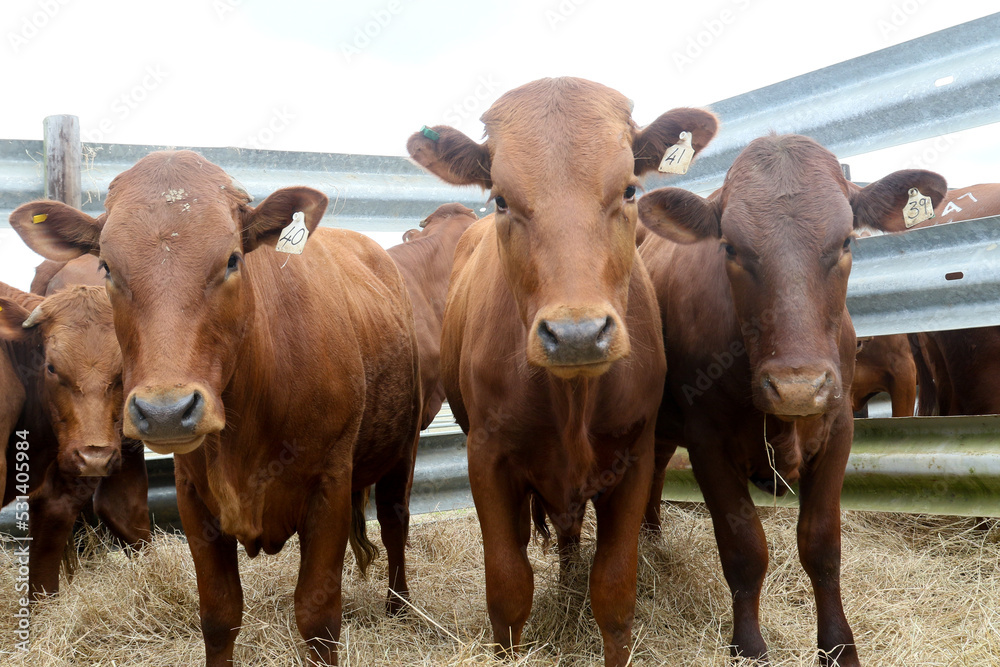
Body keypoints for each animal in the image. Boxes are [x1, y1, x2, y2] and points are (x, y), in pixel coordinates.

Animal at [407, 76, 718, 666]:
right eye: (501, 199)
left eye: (629, 191)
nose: (576, 334)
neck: (573, 399)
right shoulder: (487, 457)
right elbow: (509, 587)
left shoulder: (636, 455)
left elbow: (615, 592)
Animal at [637, 133, 946, 665]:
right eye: (730, 247)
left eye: (846, 242)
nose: (797, 386)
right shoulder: (707, 442)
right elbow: (744, 551)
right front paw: (749, 648)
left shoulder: (839, 427)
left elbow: (821, 546)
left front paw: (839, 646)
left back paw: (654, 537)